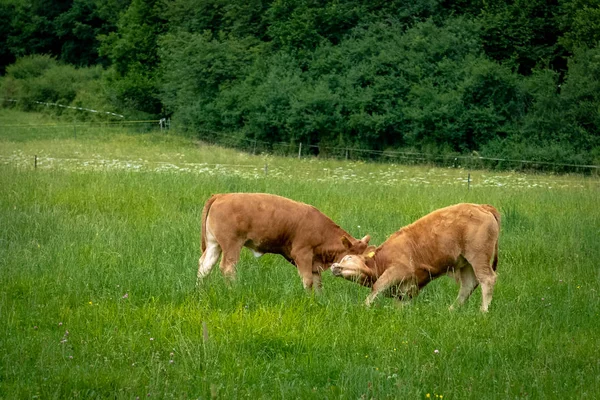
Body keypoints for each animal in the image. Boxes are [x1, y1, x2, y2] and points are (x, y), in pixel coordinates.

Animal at [197, 192, 370, 290]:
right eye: (353, 258)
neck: (321, 230)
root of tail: (222, 195)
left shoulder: (314, 262)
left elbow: (317, 283)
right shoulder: (302, 254)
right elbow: (308, 281)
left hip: (214, 245)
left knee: (205, 267)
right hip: (232, 244)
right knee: (227, 267)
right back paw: (233, 290)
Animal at [330, 203, 500, 312]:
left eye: (348, 258)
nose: (334, 266)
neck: (382, 259)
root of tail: (483, 206)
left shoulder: (396, 271)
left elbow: (376, 288)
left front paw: (363, 308)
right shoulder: (406, 289)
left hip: (479, 257)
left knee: (487, 279)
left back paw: (483, 312)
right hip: (465, 263)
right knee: (468, 285)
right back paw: (452, 310)